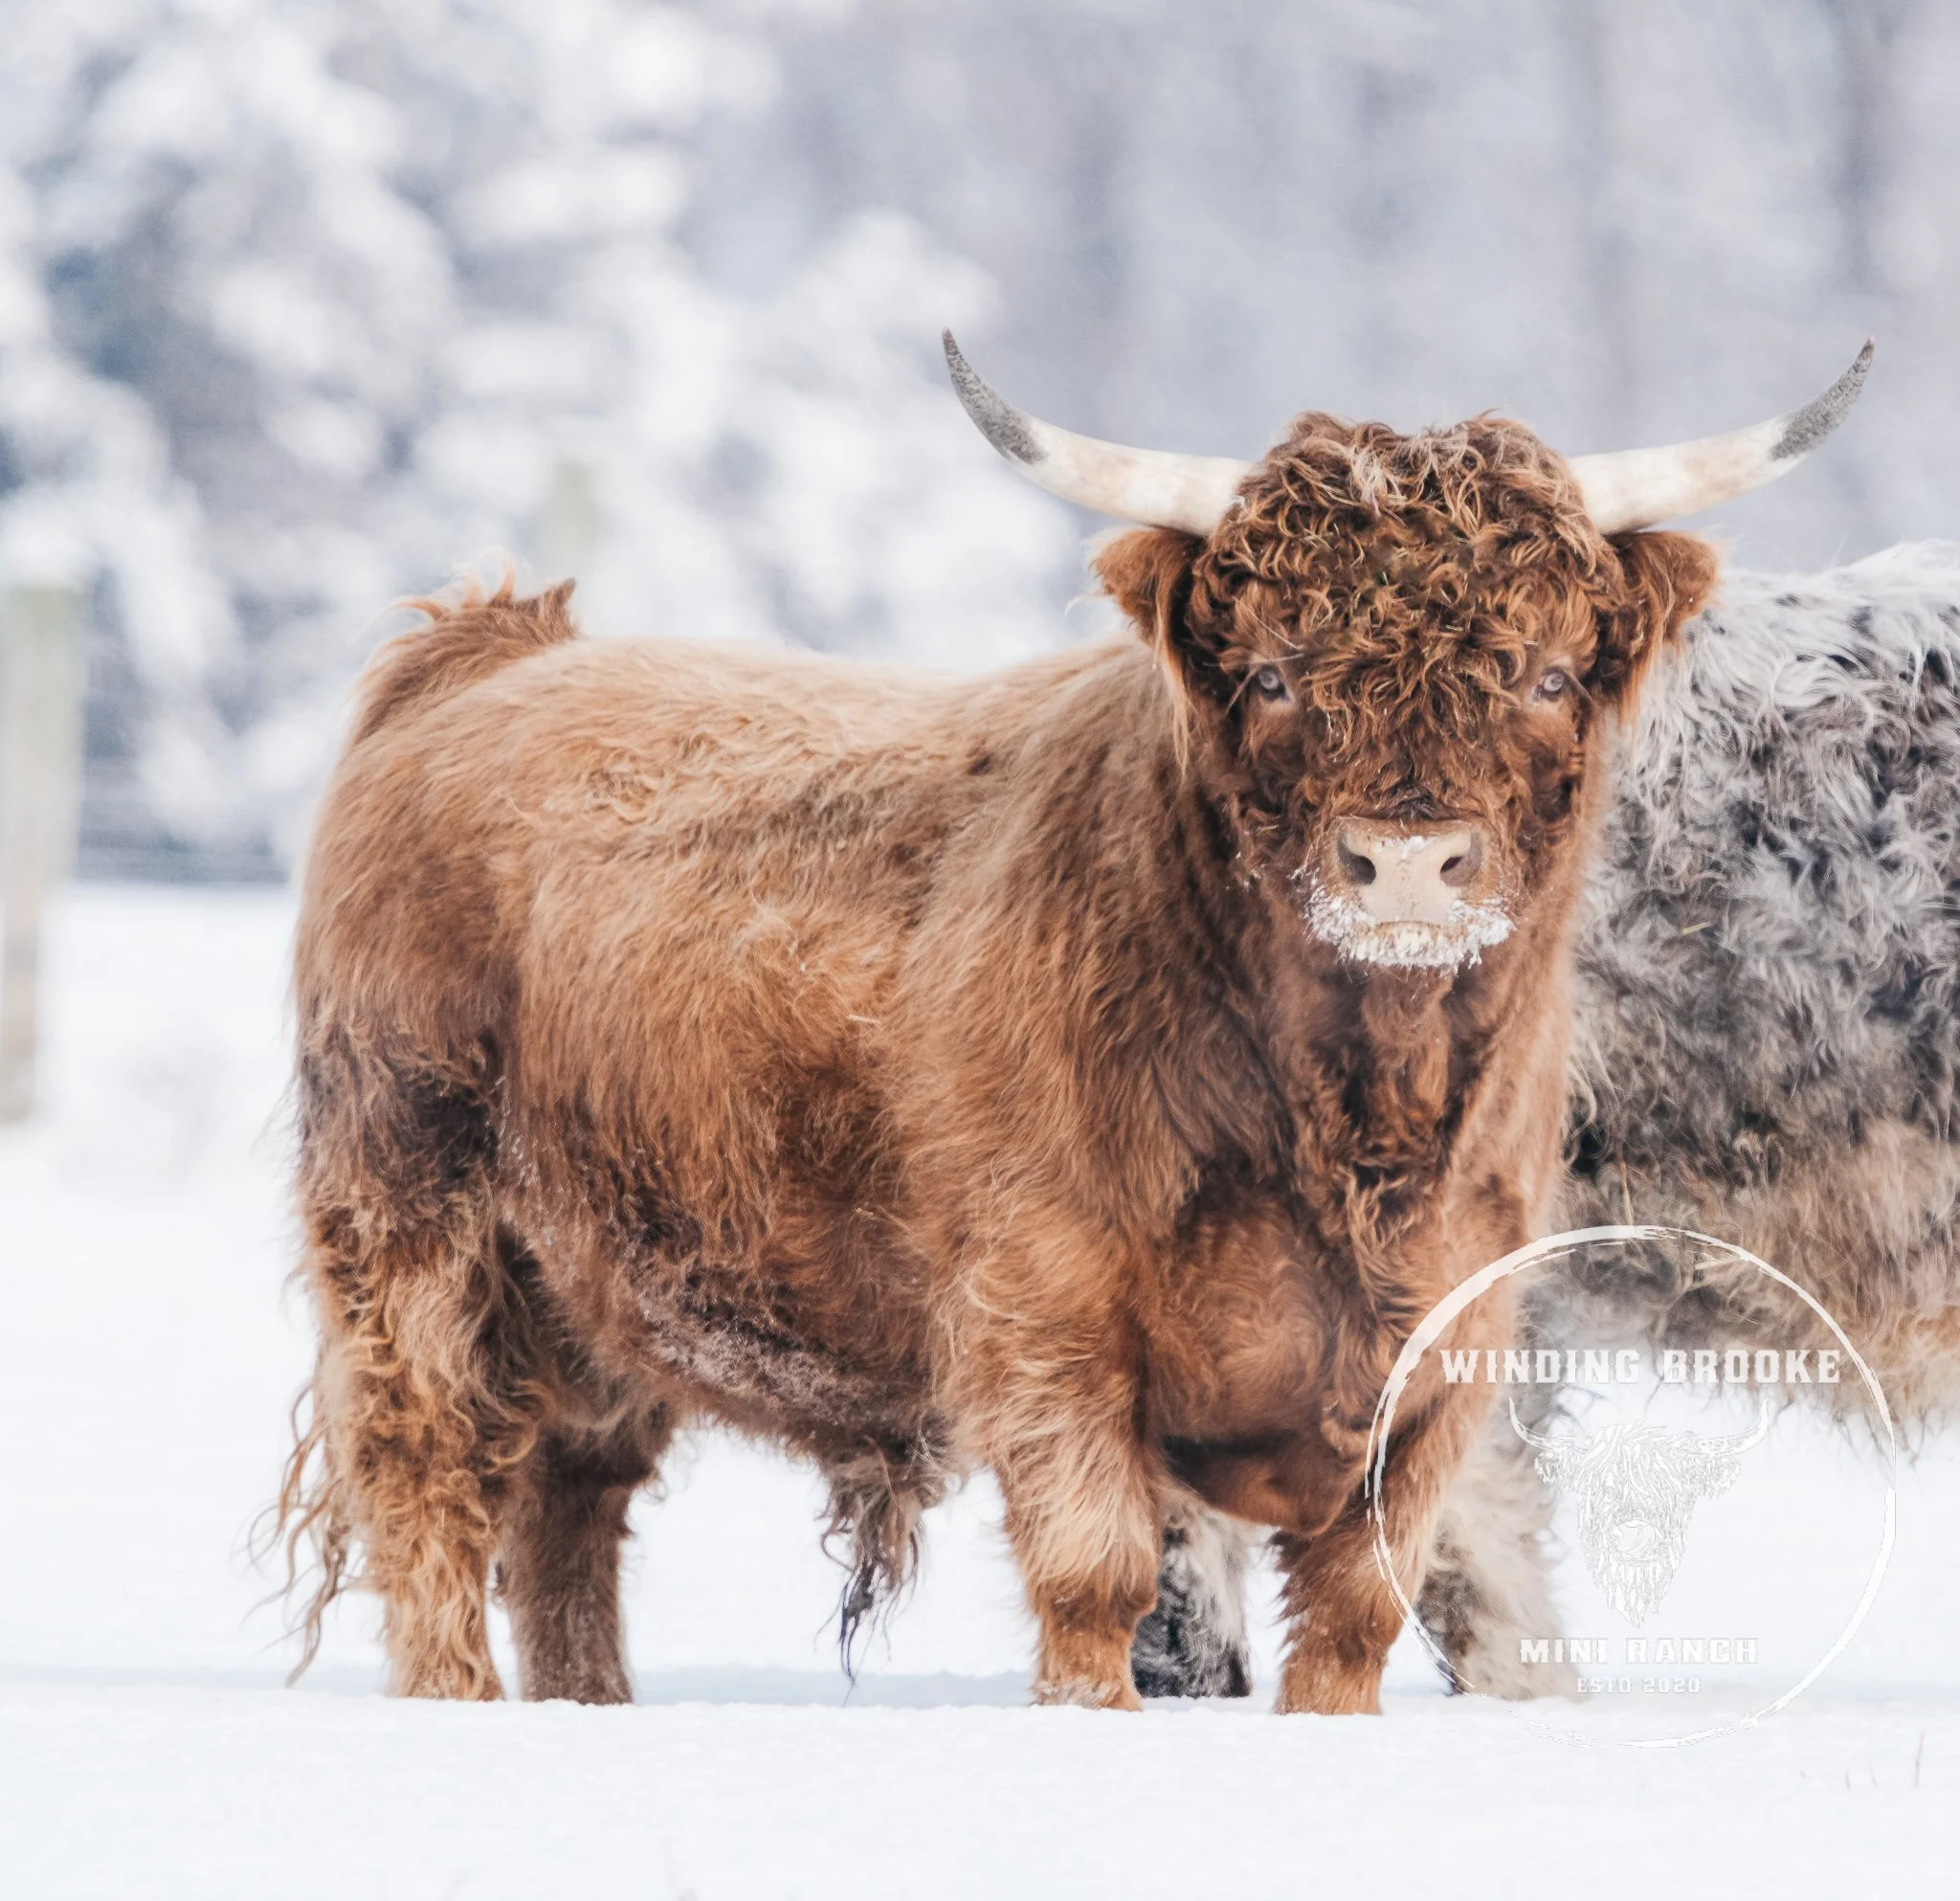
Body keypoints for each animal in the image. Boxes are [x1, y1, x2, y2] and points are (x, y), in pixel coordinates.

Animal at [274, 329, 1865, 1711]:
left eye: (1543, 671)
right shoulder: (1046, 1319)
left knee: (568, 1504)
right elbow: (1098, 1580)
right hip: (411, 1215)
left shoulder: (1440, 1362)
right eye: (1272, 671)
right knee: (428, 1473)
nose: (1407, 863)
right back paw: (465, 1705)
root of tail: (497, 653)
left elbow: (1357, 1613)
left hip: (600, 1281)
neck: (1352, 1123)